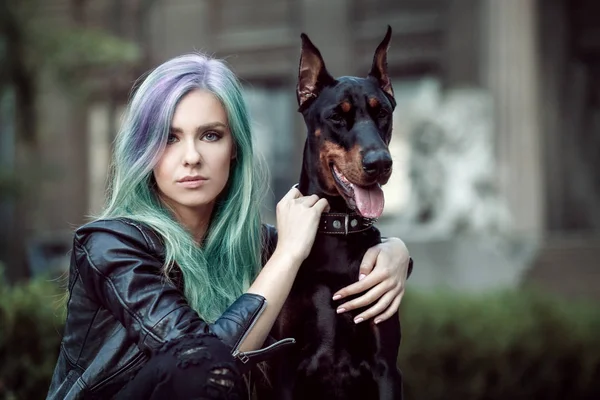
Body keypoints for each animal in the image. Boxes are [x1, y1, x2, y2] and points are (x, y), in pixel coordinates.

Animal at [258, 25, 408, 400]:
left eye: (382, 113)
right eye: (338, 116)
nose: (380, 163)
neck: (338, 227)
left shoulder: (386, 367)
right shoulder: (284, 367)